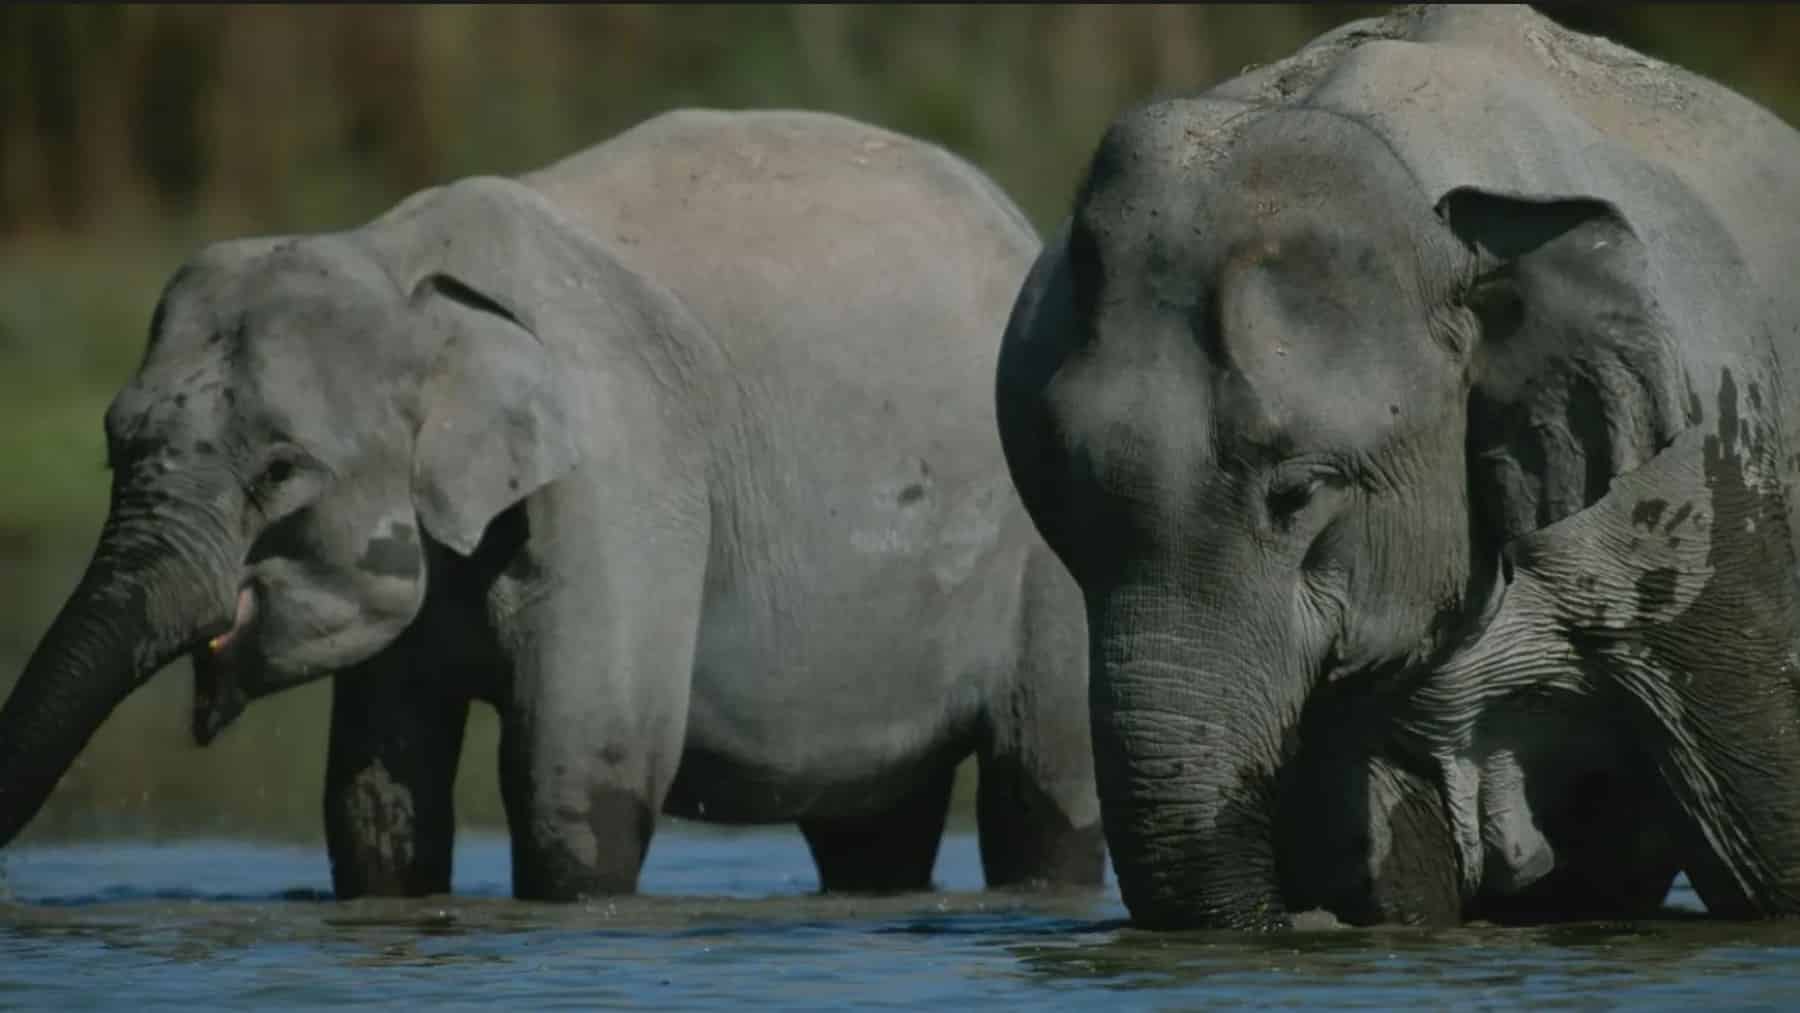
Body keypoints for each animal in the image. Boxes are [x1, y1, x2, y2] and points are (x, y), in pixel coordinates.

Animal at [0, 108, 1105, 901]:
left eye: (280, 470)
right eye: (113, 445)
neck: (402, 269)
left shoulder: (623, 472)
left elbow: (577, 780)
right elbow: (376, 802)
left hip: (1045, 551)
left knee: (1041, 797)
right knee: (872, 826)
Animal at [996, 4, 1800, 929]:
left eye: (1297, 493)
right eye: (1060, 507)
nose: (1296, 918)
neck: (1436, 221)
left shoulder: (1695, 487)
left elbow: (1767, 835)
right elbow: (1393, 872)